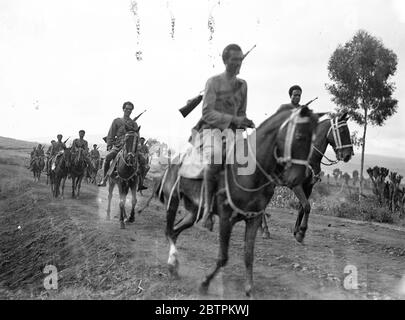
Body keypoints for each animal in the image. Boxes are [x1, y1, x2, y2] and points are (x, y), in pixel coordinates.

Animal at [150, 107, 320, 298]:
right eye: (299, 136)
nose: (300, 178)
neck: (250, 173)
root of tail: (172, 163)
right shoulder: (226, 218)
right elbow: (223, 257)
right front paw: (205, 283)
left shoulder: (253, 219)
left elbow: (248, 255)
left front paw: (249, 289)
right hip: (172, 202)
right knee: (168, 230)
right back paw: (172, 263)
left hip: (195, 212)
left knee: (174, 231)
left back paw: (174, 266)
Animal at [260, 112, 352, 240]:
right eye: (343, 130)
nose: (348, 155)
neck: (309, 158)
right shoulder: (296, 185)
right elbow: (307, 206)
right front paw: (302, 232)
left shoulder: (308, 187)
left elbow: (302, 208)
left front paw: (296, 231)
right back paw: (265, 230)